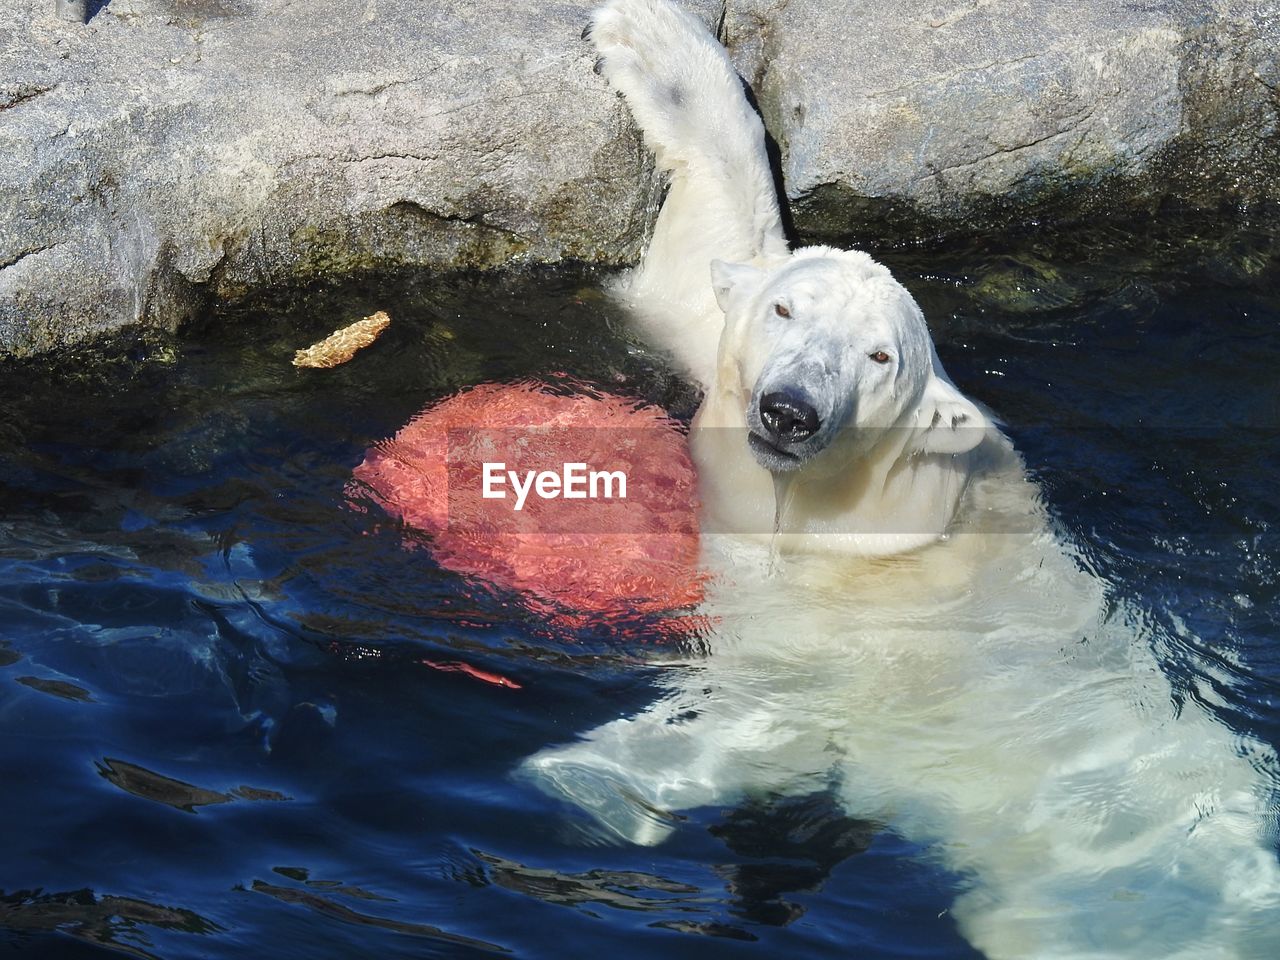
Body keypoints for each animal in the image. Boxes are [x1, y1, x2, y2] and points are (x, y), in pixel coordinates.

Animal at [519, 1, 1280, 960]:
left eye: (879, 357)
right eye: (787, 310)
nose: (791, 410)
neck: (849, 514)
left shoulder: (852, 640)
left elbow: (773, 723)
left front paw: (580, 778)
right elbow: (704, 271)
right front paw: (648, 40)